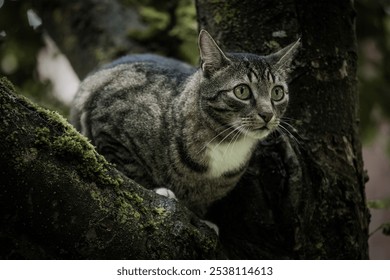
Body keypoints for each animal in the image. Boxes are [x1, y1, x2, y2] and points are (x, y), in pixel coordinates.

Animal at [71, 30, 302, 218]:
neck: (226, 142)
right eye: (242, 91)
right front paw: (156, 189)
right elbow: (127, 165)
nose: (267, 114)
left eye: (277, 93)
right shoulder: (109, 123)